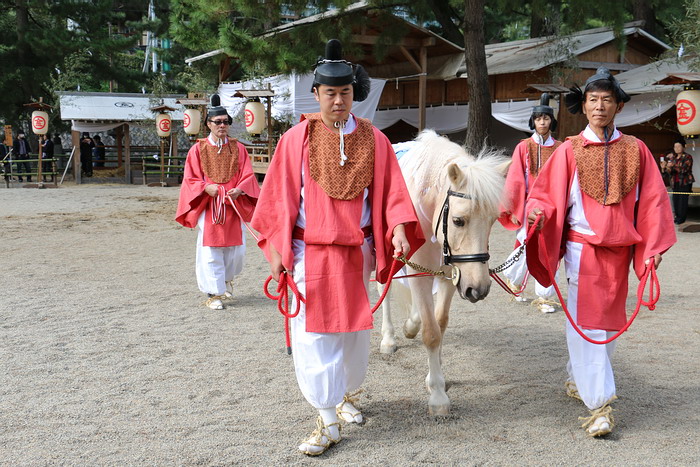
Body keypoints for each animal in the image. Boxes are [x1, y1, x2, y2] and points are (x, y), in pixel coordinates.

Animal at [380, 130, 512, 414]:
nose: (480, 289)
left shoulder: (454, 275)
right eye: (458, 221)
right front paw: (438, 396)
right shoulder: (419, 270)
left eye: (493, 221)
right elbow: (431, 333)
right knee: (382, 289)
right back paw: (388, 339)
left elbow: (439, 324)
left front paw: (437, 376)